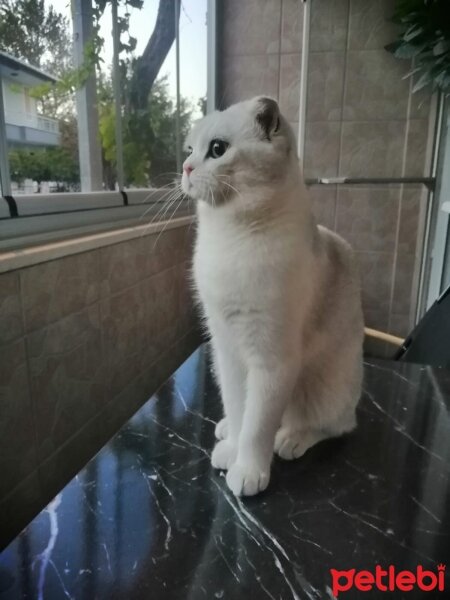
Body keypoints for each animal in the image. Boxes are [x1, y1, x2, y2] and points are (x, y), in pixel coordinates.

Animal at [181, 95, 364, 496]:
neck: (229, 236)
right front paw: (230, 451)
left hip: (320, 390)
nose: (185, 167)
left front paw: (247, 473)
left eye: (216, 149)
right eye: (188, 149)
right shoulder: (227, 350)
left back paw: (290, 441)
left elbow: (256, 429)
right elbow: (239, 410)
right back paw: (224, 431)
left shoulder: (271, 362)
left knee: (331, 426)